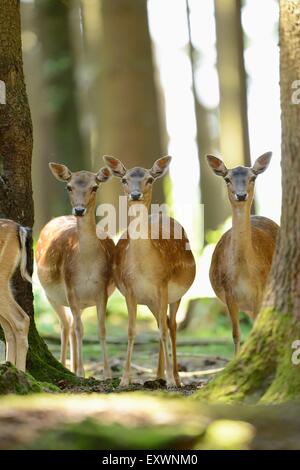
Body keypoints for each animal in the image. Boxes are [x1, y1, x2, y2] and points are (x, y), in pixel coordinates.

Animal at [35, 163, 115, 376]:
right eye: (68, 186)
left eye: (95, 187)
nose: (79, 210)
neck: (86, 264)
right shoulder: (70, 288)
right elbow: (80, 329)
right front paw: (81, 373)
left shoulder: (101, 290)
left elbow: (101, 329)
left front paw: (107, 373)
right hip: (50, 295)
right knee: (65, 326)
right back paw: (66, 366)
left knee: (70, 325)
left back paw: (71, 367)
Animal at [103, 156, 197, 388]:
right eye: (125, 179)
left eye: (150, 179)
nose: (136, 194)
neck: (144, 269)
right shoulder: (129, 290)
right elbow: (131, 331)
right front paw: (124, 380)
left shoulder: (162, 284)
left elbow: (164, 330)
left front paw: (172, 380)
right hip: (151, 301)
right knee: (162, 322)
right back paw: (158, 375)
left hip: (178, 293)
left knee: (171, 326)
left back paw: (176, 378)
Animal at [206, 151, 278, 352]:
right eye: (227, 179)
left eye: (253, 177)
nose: (241, 195)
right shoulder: (229, 294)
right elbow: (236, 334)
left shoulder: (260, 290)